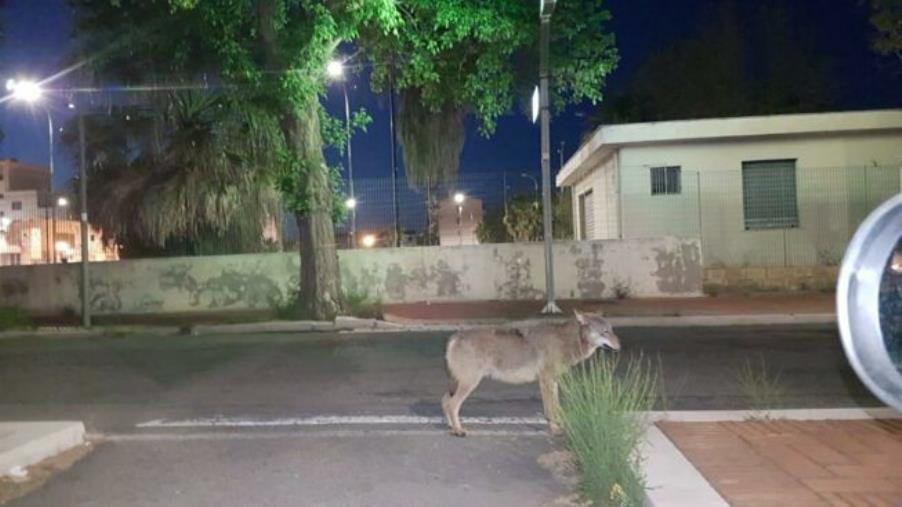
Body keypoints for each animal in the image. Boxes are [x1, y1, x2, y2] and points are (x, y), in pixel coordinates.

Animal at [444, 310, 620, 436]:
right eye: (604, 332)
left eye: (612, 330)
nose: (620, 345)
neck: (566, 341)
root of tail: (455, 336)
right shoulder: (546, 380)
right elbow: (550, 410)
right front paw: (555, 430)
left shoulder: (553, 381)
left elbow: (557, 407)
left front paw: (562, 425)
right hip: (470, 383)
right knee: (452, 404)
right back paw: (458, 430)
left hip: (460, 383)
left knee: (445, 401)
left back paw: (452, 426)